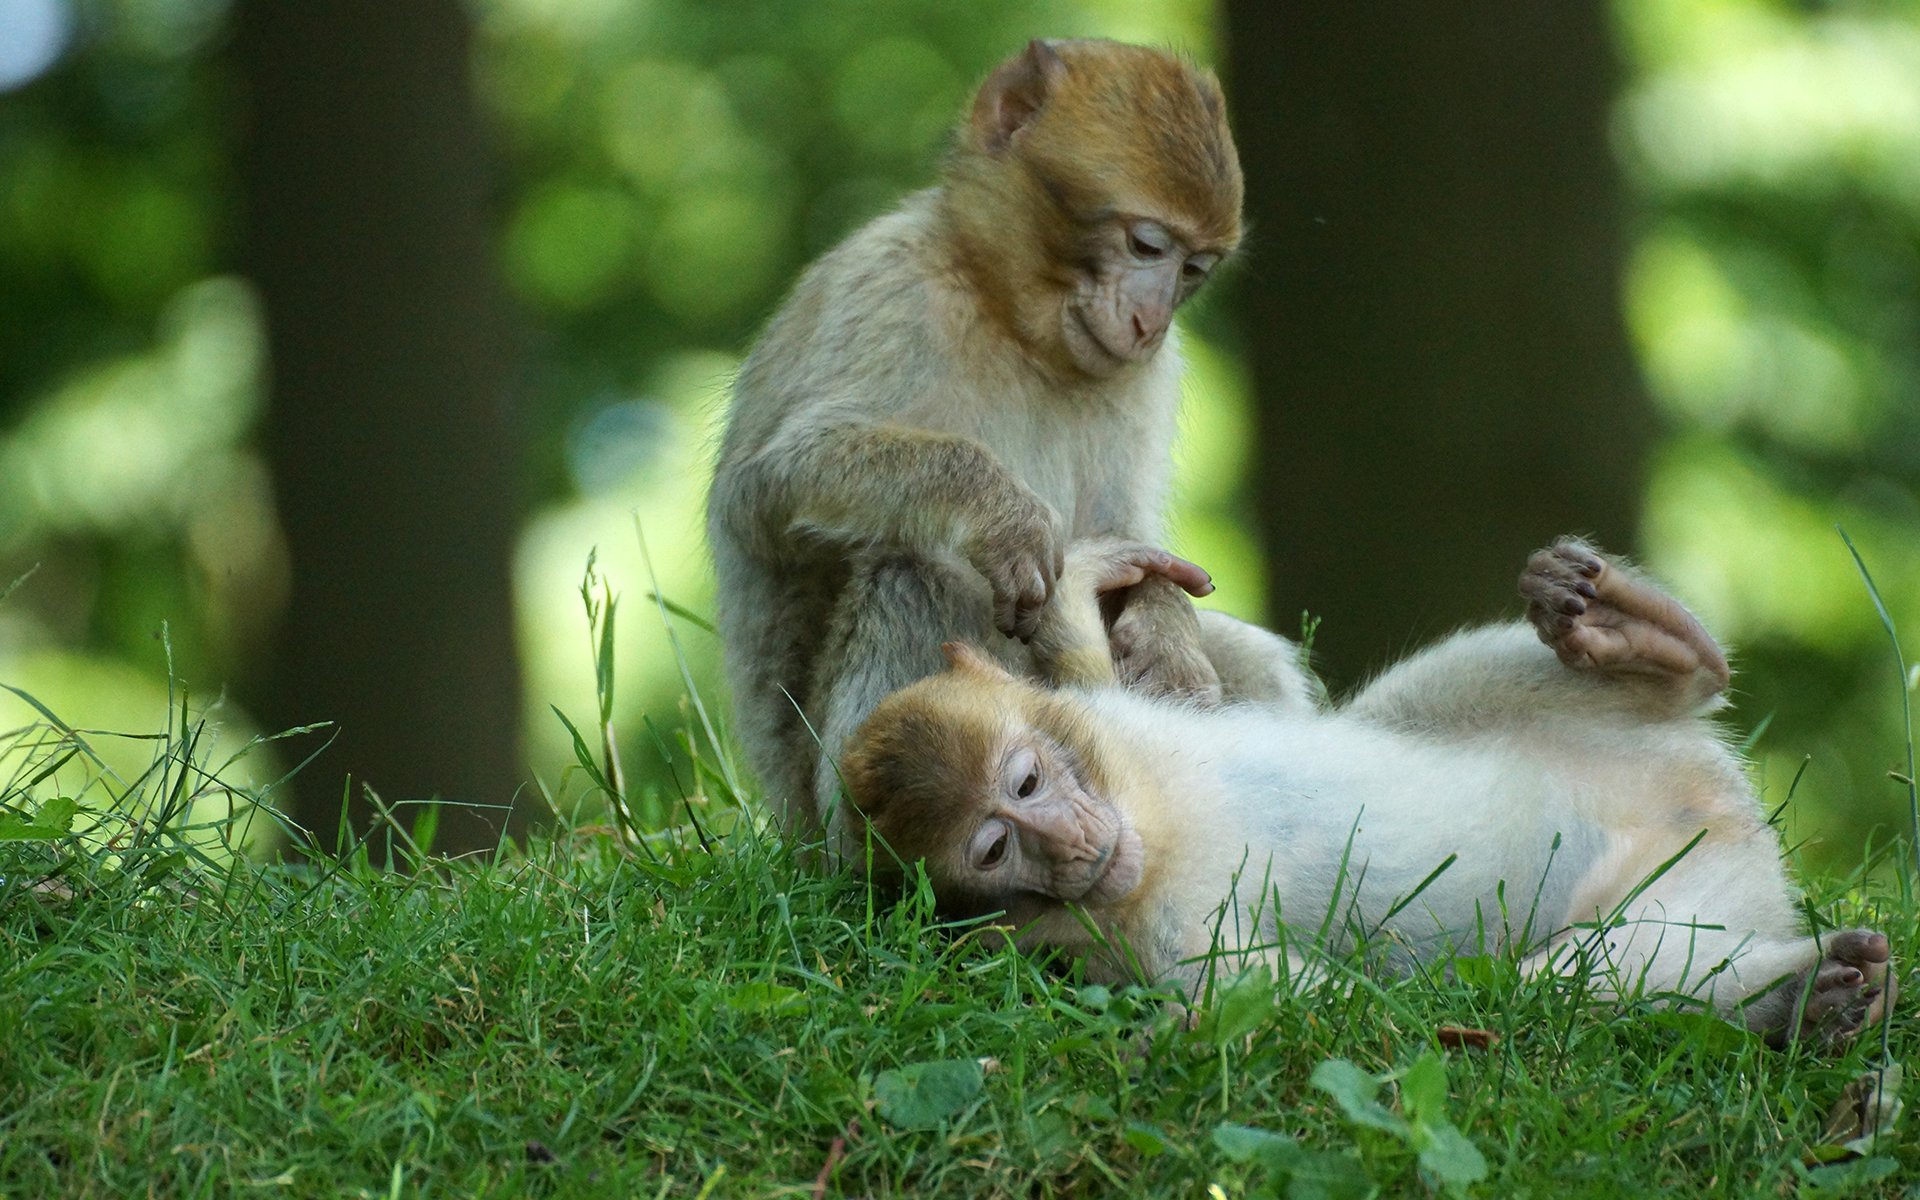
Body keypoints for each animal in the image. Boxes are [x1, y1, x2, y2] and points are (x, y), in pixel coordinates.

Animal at [840, 537, 1889, 1044]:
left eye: (1027, 781)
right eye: (995, 849)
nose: (1068, 842)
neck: (1152, 831)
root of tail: (1723, 813)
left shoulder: (1112, 725)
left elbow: (1102, 672)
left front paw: (1085, 590)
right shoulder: (1160, 942)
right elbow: (1332, 1011)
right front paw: (1177, 1042)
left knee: (1433, 703)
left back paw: (1646, 643)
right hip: (1692, 889)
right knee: (1571, 984)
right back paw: (1810, 999)